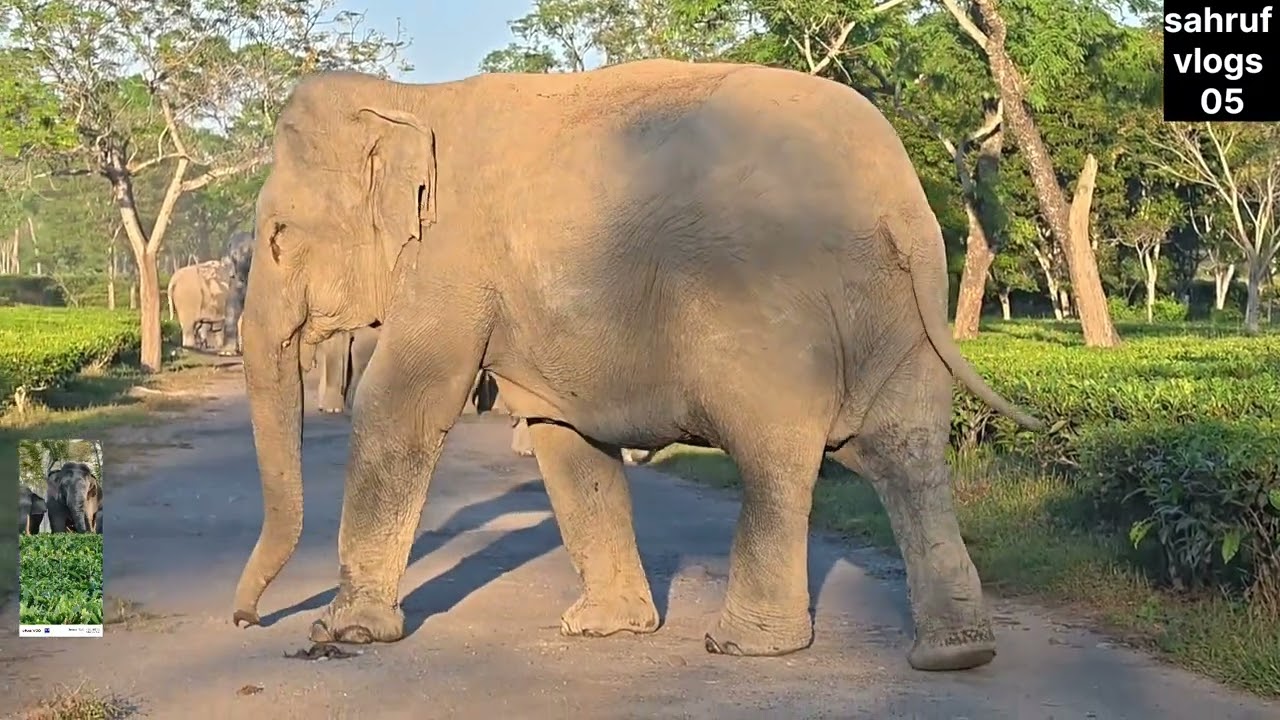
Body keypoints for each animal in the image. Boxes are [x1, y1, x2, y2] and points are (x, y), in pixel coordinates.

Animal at [231, 60, 1044, 674]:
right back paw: (957, 655)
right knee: (909, 455)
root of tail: (900, 203)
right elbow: (563, 436)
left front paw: (344, 632)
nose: (246, 621)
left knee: (777, 458)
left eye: (277, 237)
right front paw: (605, 628)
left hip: (769, 315)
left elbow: (401, 405)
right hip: (899, 310)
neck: (410, 98)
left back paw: (743, 644)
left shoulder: (451, 262)